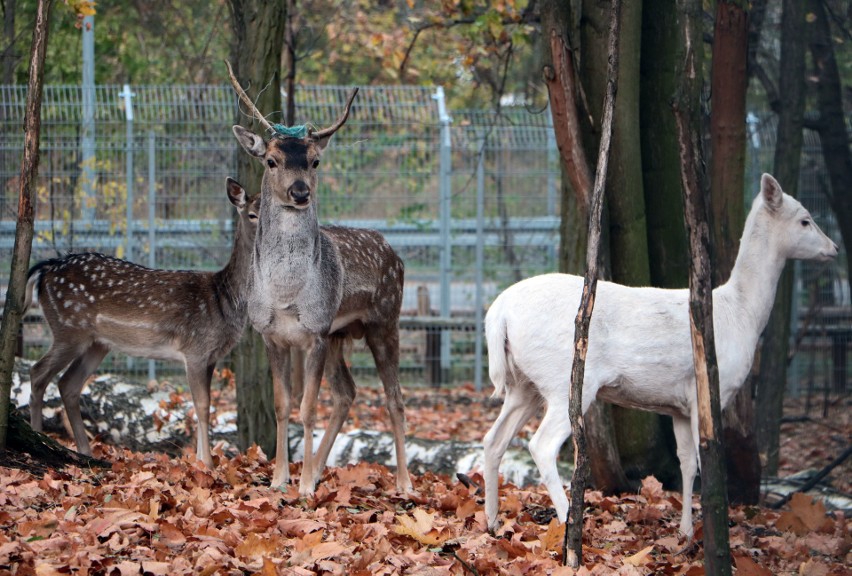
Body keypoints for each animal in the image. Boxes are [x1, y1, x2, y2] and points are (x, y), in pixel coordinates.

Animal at [26, 178, 260, 466]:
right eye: (252, 214)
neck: (223, 299)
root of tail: (45, 270)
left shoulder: (212, 356)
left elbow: (203, 407)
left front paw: (200, 461)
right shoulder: (195, 349)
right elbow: (203, 406)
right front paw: (206, 463)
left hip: (97, 343)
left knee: (68, 384)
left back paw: (85, 451)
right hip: (68, 329)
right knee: (38, 373)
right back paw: (37, 435)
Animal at [226, 64, 412, 496]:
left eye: (314, 161)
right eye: (271, 160)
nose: (300, 192)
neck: (285, 294)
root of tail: (394, 253)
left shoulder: (315, 331)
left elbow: (308, 407)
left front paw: (306, 486)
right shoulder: (272, 335)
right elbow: (282, 406)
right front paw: (280, 479)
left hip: (385, 320)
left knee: (394, 398)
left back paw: (403, 482)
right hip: (342, 334)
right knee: (347, 392)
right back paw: (320, 466)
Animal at [486, 173, 840, 536]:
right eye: (805, 220)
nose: (834, 248)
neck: (742, 314)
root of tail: (499, 312)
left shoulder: (678, 406)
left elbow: (686, 462)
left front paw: (685, 531)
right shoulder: (707, 391)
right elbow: (705, 460)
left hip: (524, 384)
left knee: (493, 440)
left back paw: (493, 522)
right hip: (565, 381)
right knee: (541, 445)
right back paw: (566, 520)